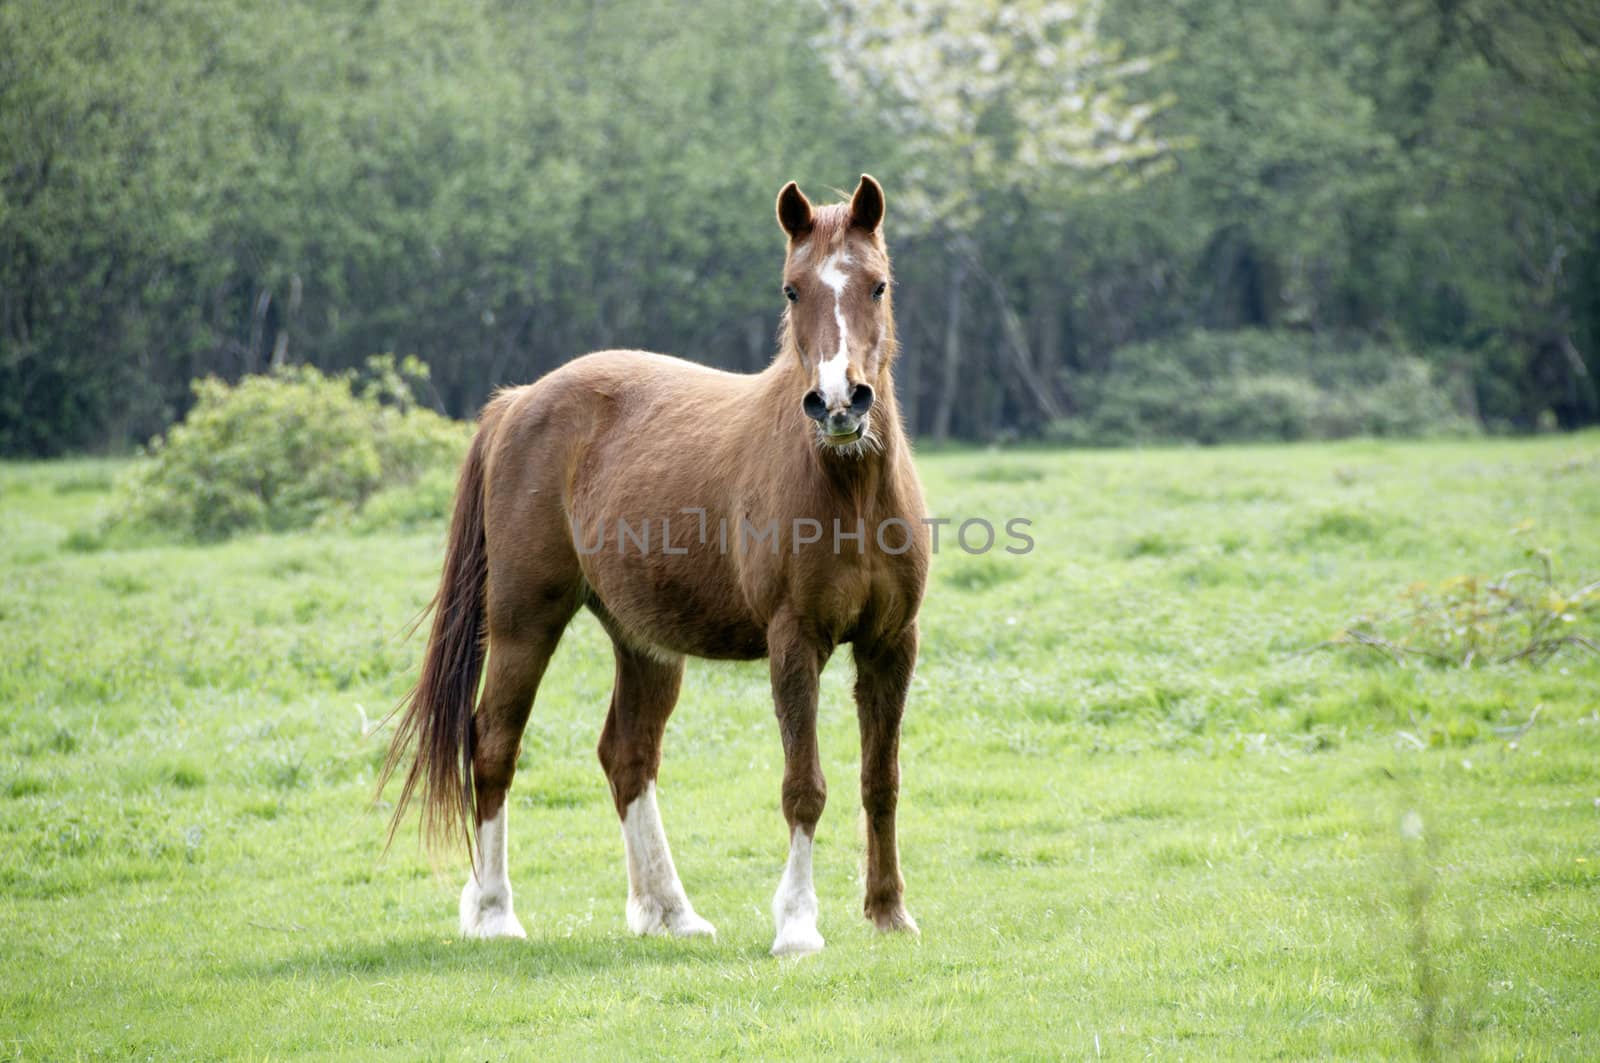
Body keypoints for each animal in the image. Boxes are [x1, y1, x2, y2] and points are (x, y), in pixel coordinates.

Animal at [379, 174, 928, 954]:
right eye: (792, 289)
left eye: (877, 284)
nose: (837, 402)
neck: (845, 486)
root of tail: (519, 401)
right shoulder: (794, 642)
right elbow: (805, 785)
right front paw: (796, 924)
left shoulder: (891, 643)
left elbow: (881, 780)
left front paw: (888, 912)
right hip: (523, 621)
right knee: (494, 744)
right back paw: (494, 913)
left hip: (645, 643)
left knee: (627, 755)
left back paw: (668, 910)